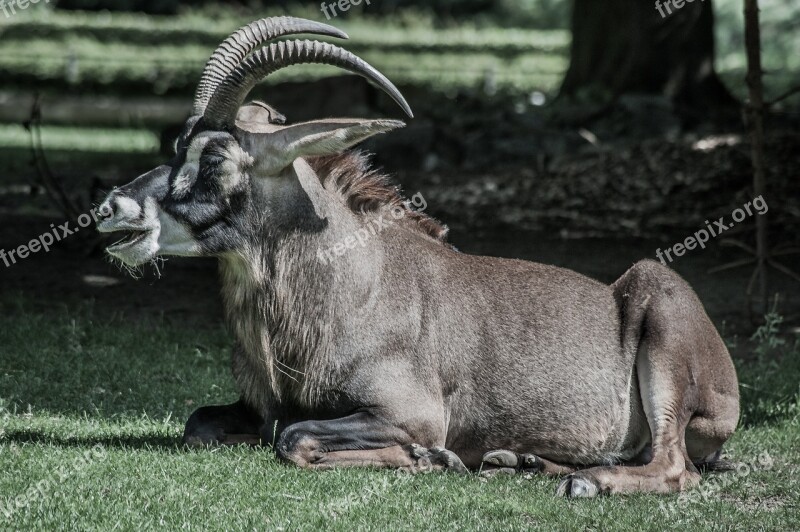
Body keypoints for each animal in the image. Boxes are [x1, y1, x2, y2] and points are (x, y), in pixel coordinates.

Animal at [97, 17, 740, 498]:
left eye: (214, 159)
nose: (112, 206)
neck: (349, 280)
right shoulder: (255, 408)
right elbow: (202, 424)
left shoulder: (411, 413)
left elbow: (294, 436)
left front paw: (433, 459)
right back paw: (524, 461)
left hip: (662, 323)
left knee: (674, 466)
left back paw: (586, 481)